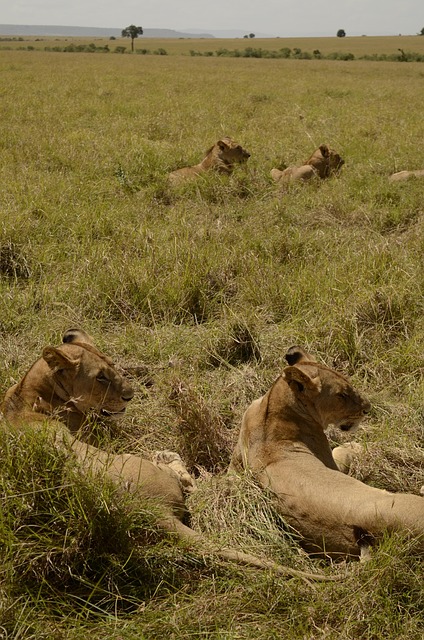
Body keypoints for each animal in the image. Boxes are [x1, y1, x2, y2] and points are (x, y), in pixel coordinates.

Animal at [1, 329, 331, 582]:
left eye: (112, 367)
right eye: (100, 378)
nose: (129, 396)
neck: (29, 391)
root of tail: (154, 512)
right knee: (187, 482)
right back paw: (180, 465)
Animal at [230, 346, 424, 559]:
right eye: (342, 395)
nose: (368, 408)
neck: (272, 405)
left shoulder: (235, 462)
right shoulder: (330, 460)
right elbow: (341, 451)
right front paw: (356, 446)